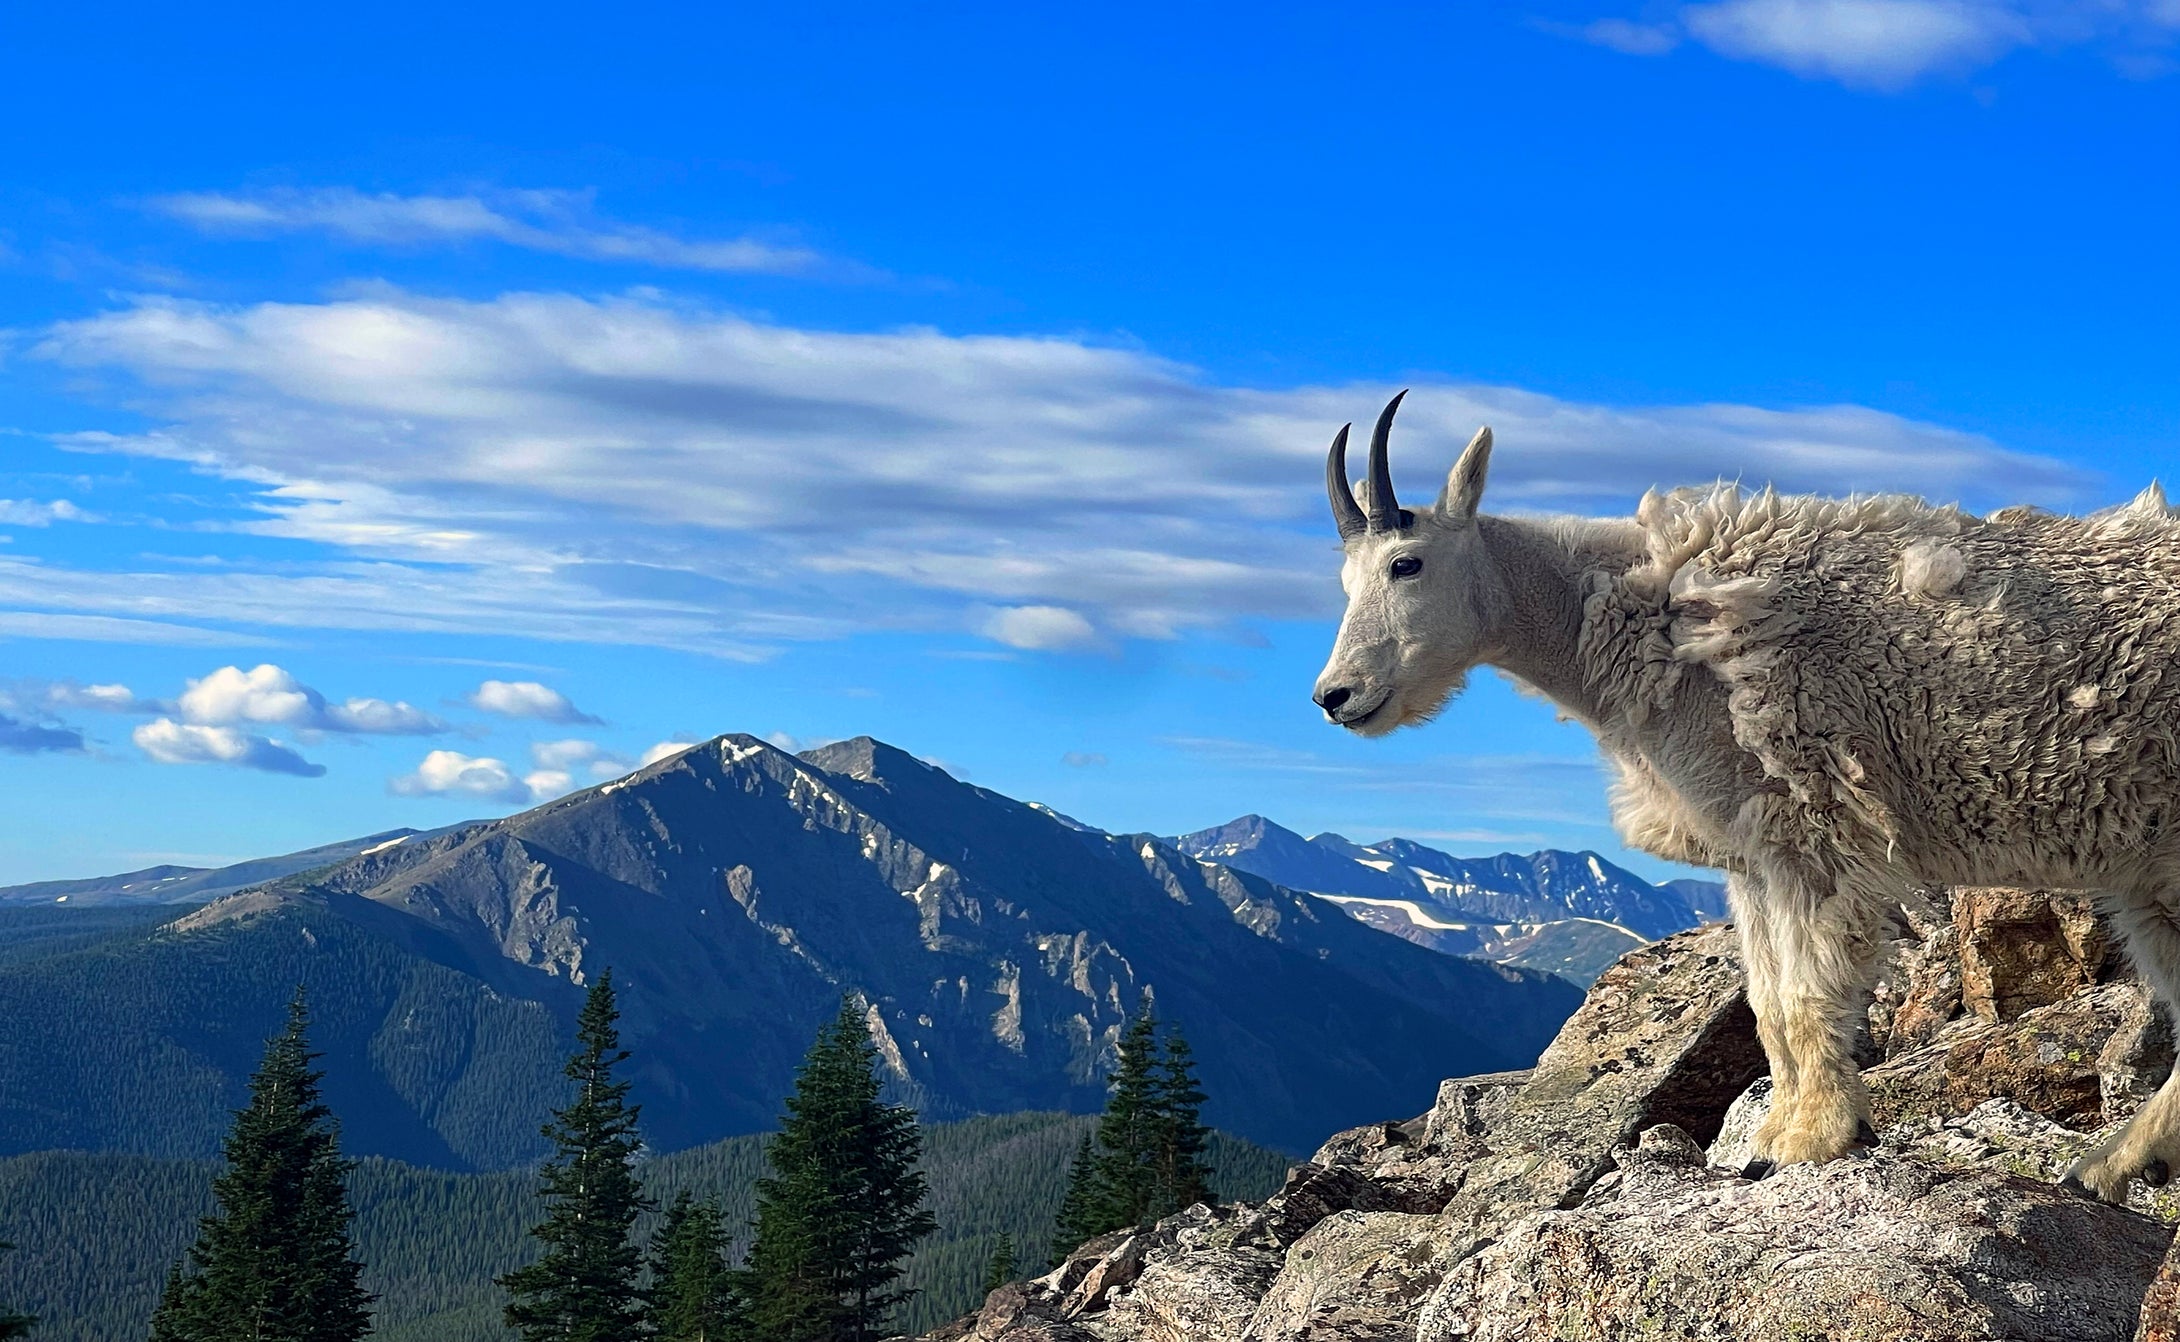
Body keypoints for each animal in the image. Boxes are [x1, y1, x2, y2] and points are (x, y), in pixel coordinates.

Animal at [1308, 387, 2180, 1193]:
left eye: (1406, 562)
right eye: (1342, 578)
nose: (1335, 696)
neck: (1641, 620)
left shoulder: (1814, 830)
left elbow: (1805, 996)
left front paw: (1812, 1141)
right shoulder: (1752, 855)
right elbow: (1766, 1006)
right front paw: (1771, 1137)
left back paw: (2105, 1162)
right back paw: (2111, 1163)